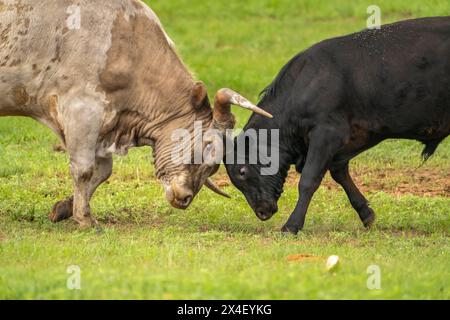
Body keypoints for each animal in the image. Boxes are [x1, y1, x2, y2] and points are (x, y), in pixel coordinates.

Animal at [0, 0, 270, 228]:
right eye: (207, 146)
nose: (185, 198)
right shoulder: (82, 110)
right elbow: (84, 169)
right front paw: (85, 219)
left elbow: (103, 171)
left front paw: (65, 207)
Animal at [225, 16, 450, 234]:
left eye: (242, 171)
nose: (262, 212)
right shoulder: (351, 138)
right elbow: (339, 172)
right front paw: (366, 213)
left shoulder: (326, 133)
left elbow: (308, 179)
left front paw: (292, 225)